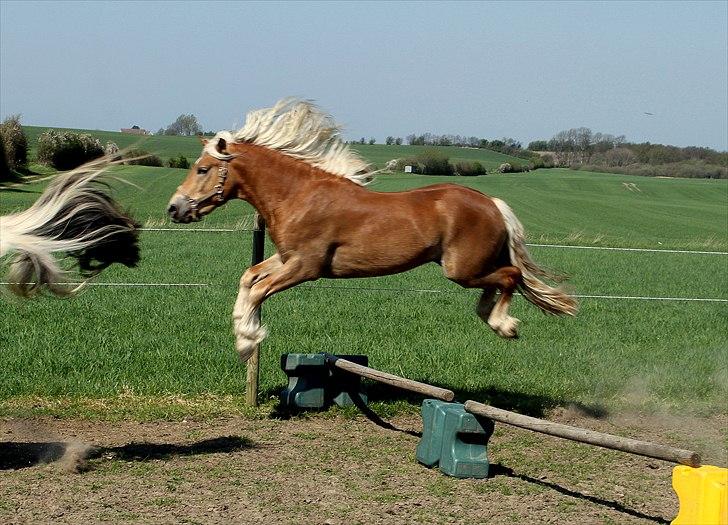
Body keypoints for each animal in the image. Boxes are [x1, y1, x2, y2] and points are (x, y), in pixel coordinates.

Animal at [168, 98, 576, 360]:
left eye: (202, 169)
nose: (174, 208)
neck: (298, 195)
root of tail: (492, 203)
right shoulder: (286, 258)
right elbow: (248, 278)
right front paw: (243, 329)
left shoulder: (305, 267)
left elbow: (258, 290)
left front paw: (248, 341)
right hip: (467, 268)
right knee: (501, 280)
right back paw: (492, 317)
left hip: (462, 269)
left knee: (509, 276)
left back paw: (503, 324)